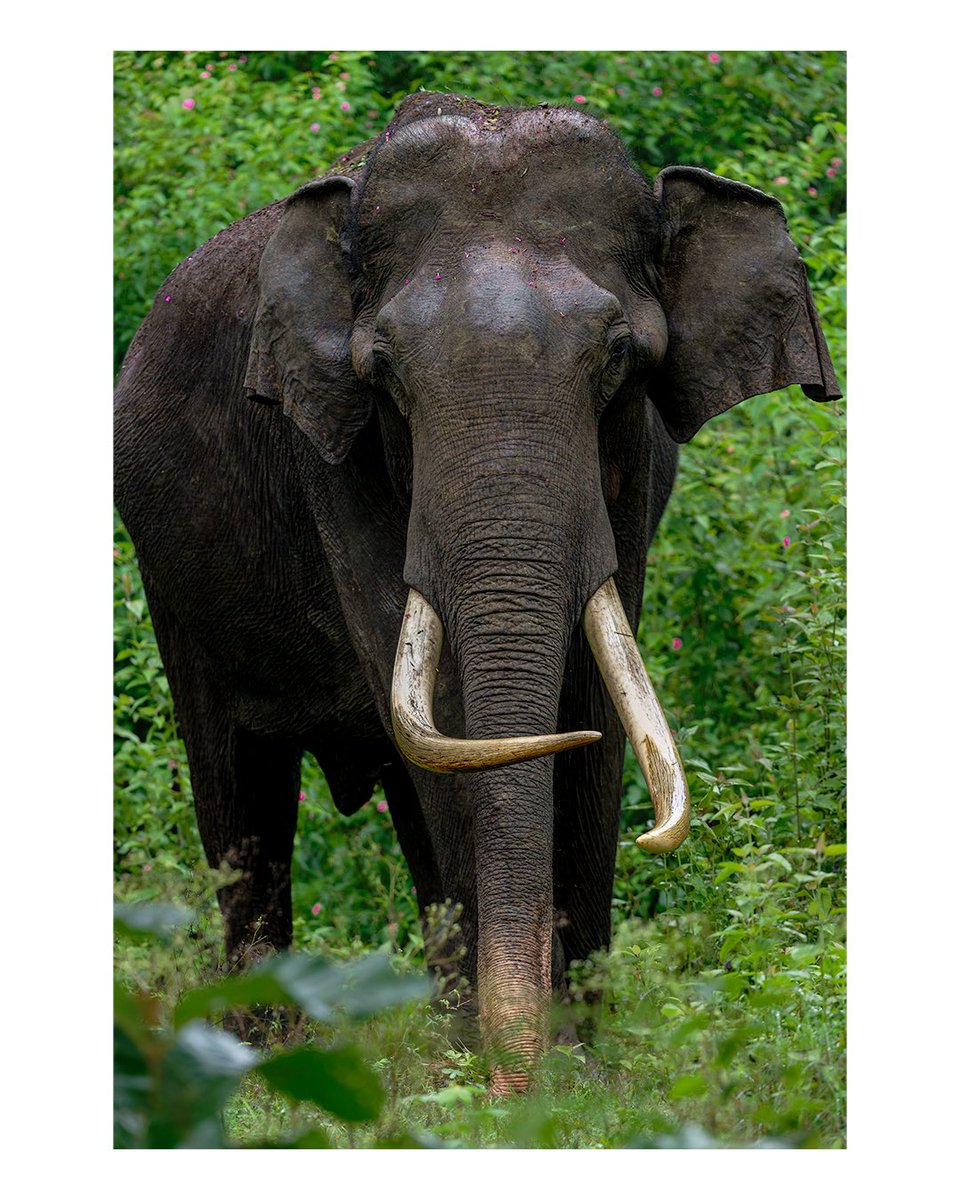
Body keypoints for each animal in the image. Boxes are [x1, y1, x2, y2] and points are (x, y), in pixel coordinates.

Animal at [114, 92, 840, 1092]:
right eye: (381, 371)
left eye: (619, 356)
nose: (517, 1080)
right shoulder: (327, 455)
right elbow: (451, 711)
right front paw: (493, 1081)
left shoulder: (637, 474)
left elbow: (597, 710)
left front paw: (580, 1073)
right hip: (171, 580)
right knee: (240, 792)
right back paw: (258, 1058)